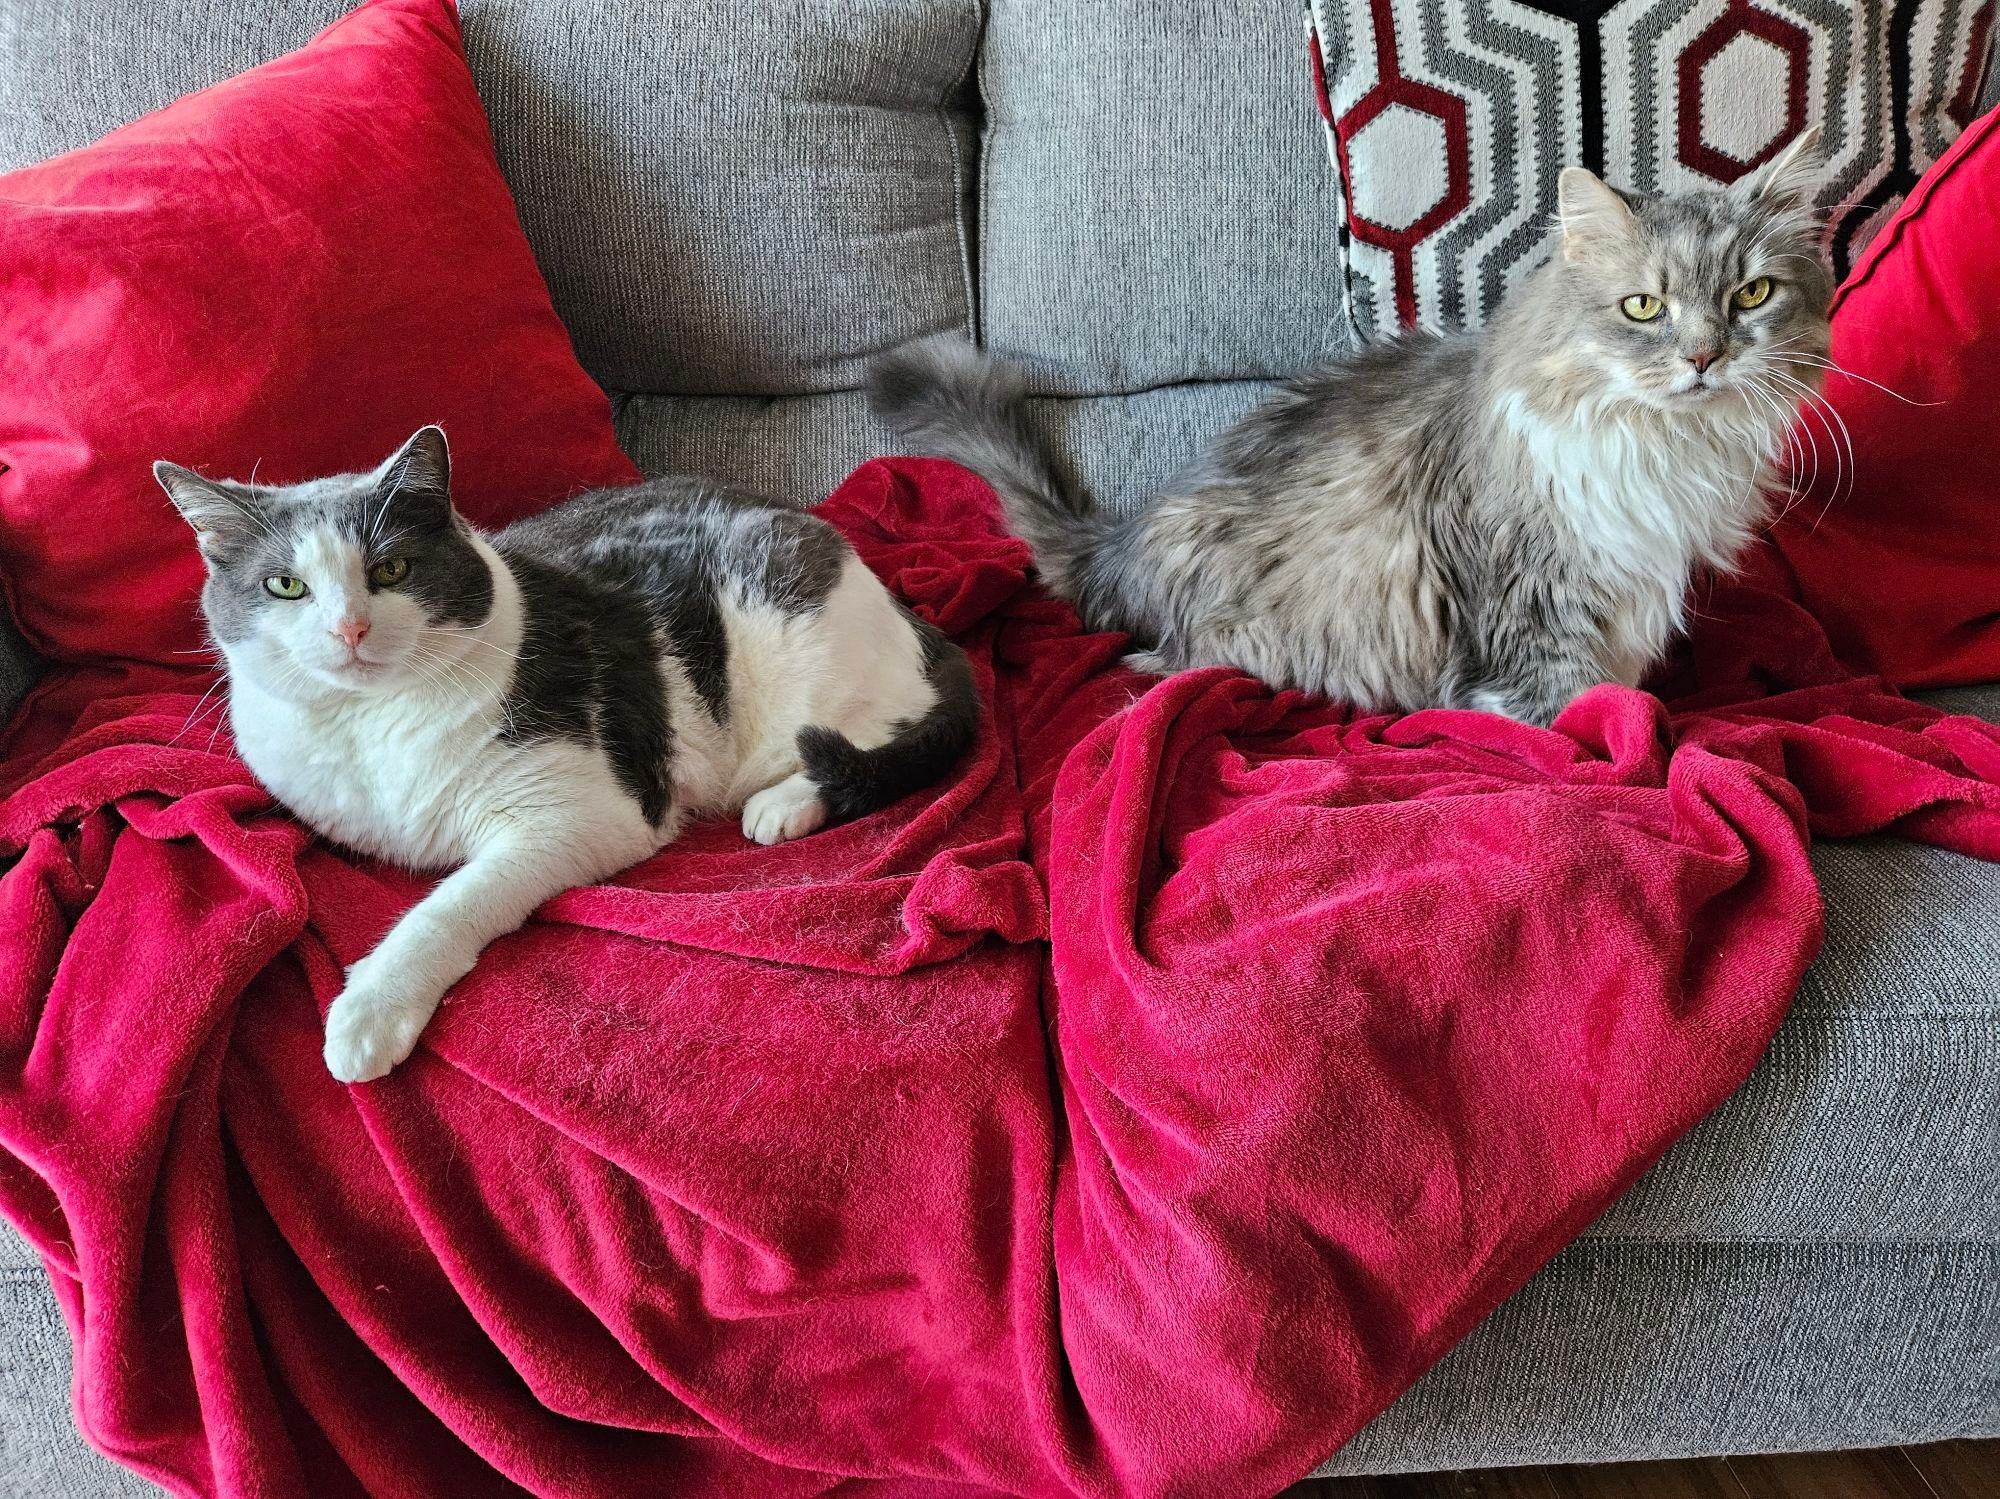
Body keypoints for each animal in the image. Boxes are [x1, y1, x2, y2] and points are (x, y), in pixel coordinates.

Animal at [152, 431, 972, 1079]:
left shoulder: (579, 819)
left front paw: (371, 1010)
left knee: (873, 729)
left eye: (391, 570)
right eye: (284, 585)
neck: (372, 720)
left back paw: (784, 803)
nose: (348, 629)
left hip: (801, 653)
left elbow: (451, 903)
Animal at [868, 134, 1832, 727]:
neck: (1664, 446)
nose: (1704, 357)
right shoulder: (1534, 596)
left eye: (1751, 294)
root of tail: (1122, 536)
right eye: (1643, 307)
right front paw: (1627, 732)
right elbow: (1580, 703)